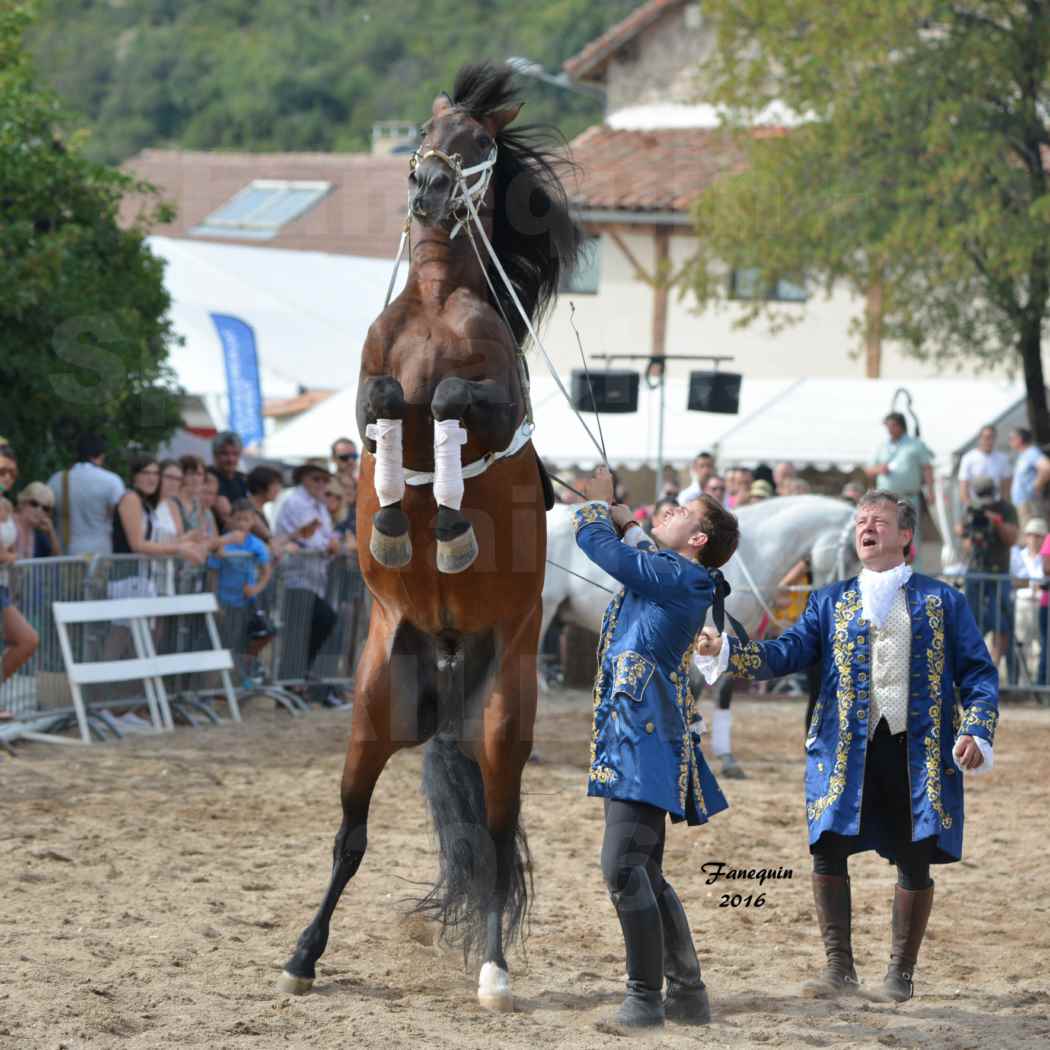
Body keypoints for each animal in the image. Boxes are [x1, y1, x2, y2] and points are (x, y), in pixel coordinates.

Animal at [279, 63, 583, 1007]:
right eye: (426, 129)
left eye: (478, 145)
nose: (430, 187)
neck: (438, 300)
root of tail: (450, 660)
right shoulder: (366, 388)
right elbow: (384, 405)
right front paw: (388, 518)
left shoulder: (497, 402)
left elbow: (449, 400)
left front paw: (446, 523)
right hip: (371, 718)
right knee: (351, 837)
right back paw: (302, 955)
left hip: (503, 729)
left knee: (495, 841)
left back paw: (493, 972)